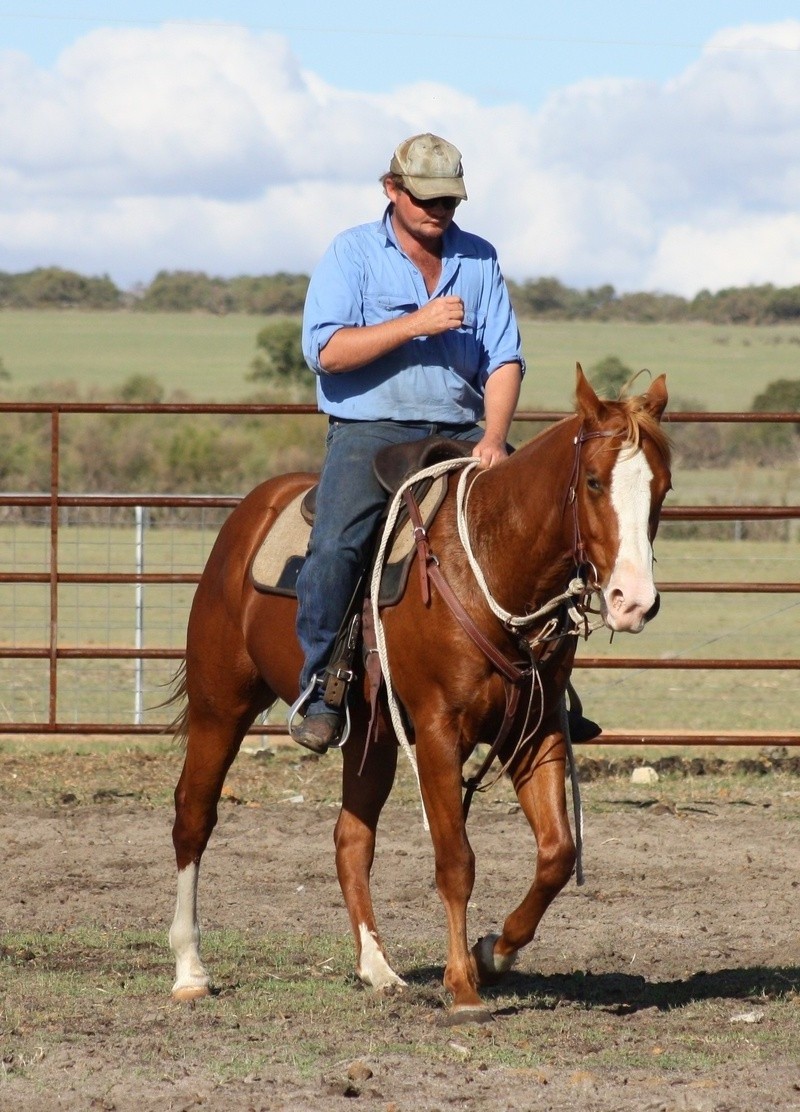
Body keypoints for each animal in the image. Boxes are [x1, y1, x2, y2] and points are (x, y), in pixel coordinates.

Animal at [172, 366, 672, 1023]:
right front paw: (463, 988)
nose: (633, 602)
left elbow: (558, 853)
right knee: (194, 816)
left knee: (351, 839)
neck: (491, 562)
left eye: (663, 488)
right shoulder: (438, 730)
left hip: (372, 736)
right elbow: (455, 859)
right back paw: (190, 970)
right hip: (220, 704)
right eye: (593, 481)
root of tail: (252, 511)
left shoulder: (536, 731)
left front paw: (493, 953)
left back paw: (378, 968)